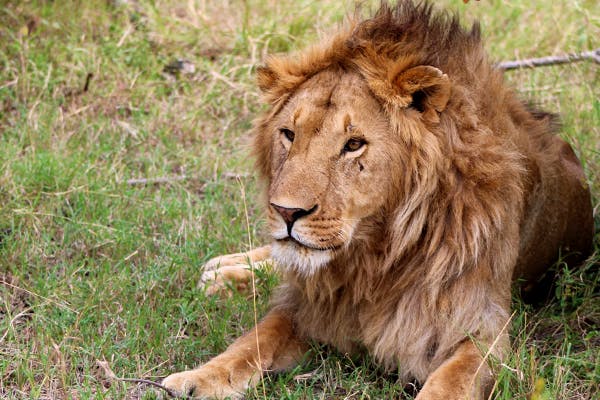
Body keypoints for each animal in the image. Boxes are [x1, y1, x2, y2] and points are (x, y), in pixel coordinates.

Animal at [162, 1, 592, 398]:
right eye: (288, 134)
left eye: (354, 144)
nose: (286, 211)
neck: (375, 257)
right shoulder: (310, 304)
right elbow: (253, 340)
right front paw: (196, 379)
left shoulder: (483, 330)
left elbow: (448, 383)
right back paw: (224, 271)